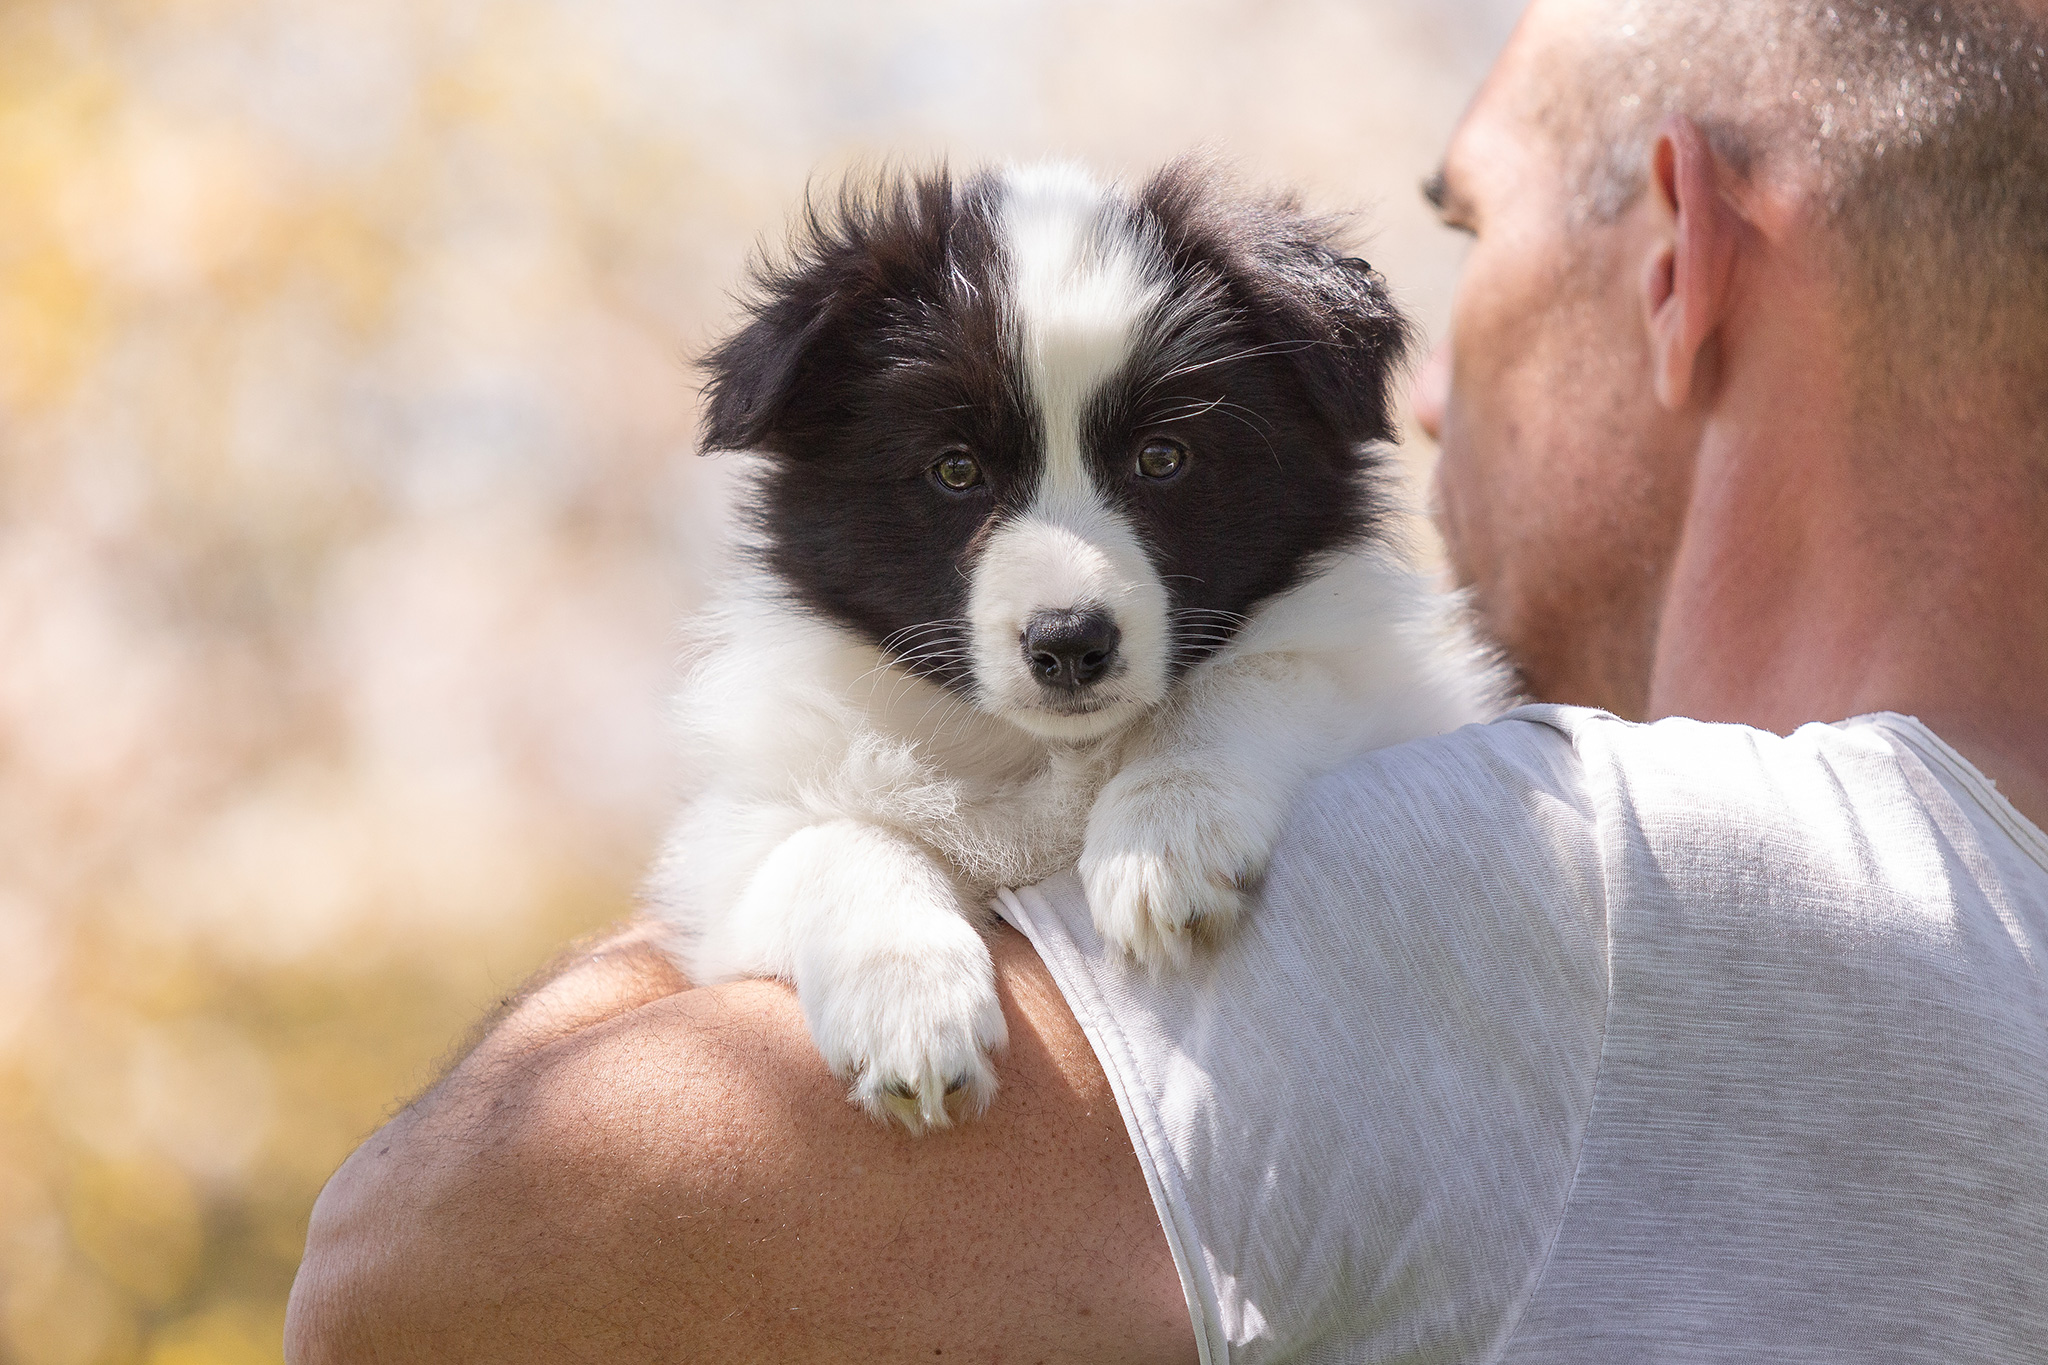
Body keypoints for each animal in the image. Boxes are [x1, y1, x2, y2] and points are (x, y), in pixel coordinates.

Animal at [655, 160, 1507, 1129]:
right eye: (955, 469)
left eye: (1163, 457)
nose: (1069, 643)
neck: (1047, 754)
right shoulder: (729, 858)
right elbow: (829, 841)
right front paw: (910, 1009)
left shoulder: (1391, 694)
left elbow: (1258, 673)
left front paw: (1162, 838)